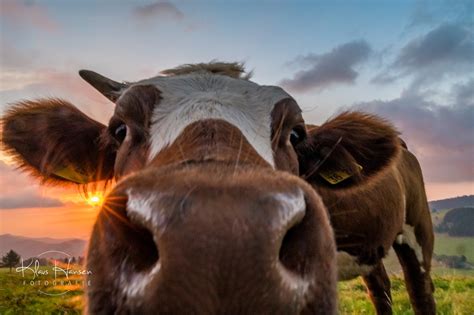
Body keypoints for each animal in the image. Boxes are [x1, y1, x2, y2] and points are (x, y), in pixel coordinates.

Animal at [1, 62, 436, 315]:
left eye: (296, 134)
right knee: (381, 287)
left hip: (419, 232)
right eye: (119, 130)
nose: (220, 247)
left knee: (421, 290)